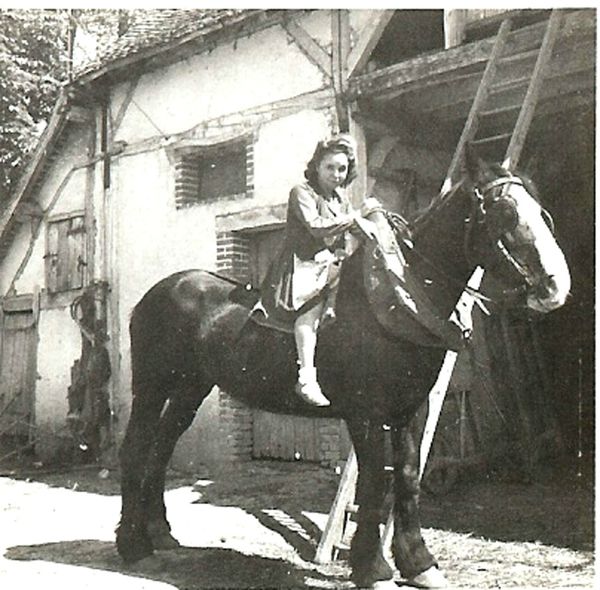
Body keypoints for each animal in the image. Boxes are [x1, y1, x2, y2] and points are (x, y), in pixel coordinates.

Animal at [115, 155, 568, 588]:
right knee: (136, 448)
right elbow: (374, 483)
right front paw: (373, 568)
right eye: (504, 212)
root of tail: (156, 293)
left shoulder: (411, 410)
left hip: (191, 387)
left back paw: (160, 532)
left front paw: (418, 564)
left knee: (162, 446)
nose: (554, 287)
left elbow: (406, 479)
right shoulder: (365, 414)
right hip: (152, 386)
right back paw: (133, 544)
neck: (394, 306)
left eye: (542, 212)